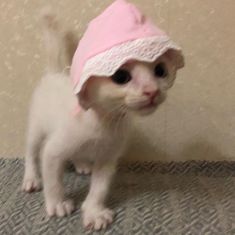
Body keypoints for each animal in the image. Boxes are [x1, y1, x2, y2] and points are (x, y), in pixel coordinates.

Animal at [22, 11, 178, 229]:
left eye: (161, 71)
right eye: (121, 76)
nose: (152, 91)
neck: (104, 121)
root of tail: (54, 73)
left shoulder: (108, 157)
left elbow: (100, 188)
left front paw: (94, 211)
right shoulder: (53, 151)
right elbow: (53, 180)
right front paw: (57, 203)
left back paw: (82, 164)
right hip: (36, 127)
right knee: (30, 152)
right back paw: (31, 178)